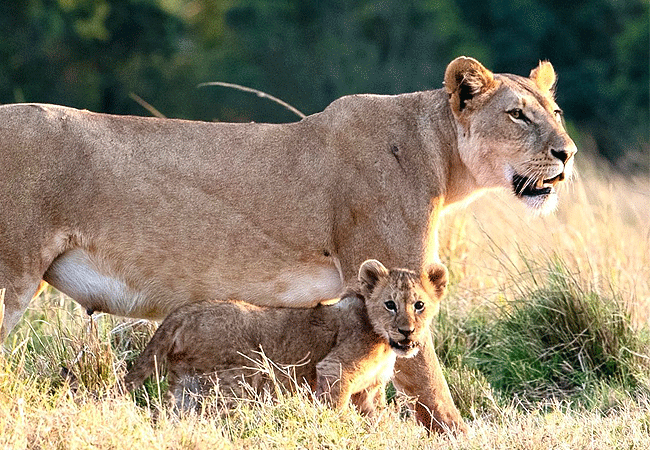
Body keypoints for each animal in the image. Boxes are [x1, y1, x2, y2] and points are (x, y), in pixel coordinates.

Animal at [124, 260, 448, 417]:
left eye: (419, 305)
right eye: (390, 304)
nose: (407, 331)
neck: (382, 339)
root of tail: (182, 313)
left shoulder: (370, 390)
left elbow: (380, 420)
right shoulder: (335, 370)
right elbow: (336, 410)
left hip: (186, 383)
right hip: (237, 377)